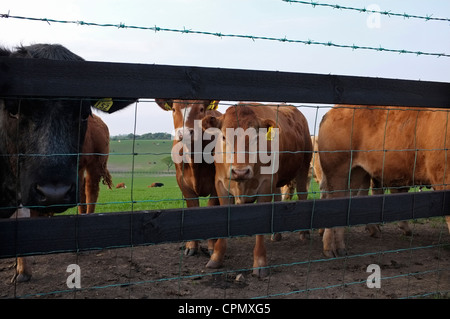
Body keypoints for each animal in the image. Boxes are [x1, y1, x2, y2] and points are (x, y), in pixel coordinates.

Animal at [0, 43, 136, 284]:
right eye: (13, 110)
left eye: (83, 113)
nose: (53, 193)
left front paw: (23, 271)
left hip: (94, 164)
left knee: (90, 191)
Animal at [156, 99, 221, 256]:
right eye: (174, 109)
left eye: (202, 109)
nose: (185, 133)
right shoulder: (182, 181)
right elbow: (192, 207)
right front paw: (191, 246)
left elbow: (212, 207)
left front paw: (212, 246)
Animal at [202, 103, 312, 278]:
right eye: (224, 137)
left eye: (255, 138)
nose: (240, 172)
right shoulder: (220, 184)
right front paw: (217, 257)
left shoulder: (265, 186)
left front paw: (260, 263)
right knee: (278, 197)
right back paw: (276, 234)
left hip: (303, 167)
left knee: (302, 195)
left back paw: (304, 233)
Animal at [316, 106, 450, 258]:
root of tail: (331, 112)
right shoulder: (443, 175)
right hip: (337, 172)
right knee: (333, 201)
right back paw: (329, 249)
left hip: (355, 173)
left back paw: (341, 248)